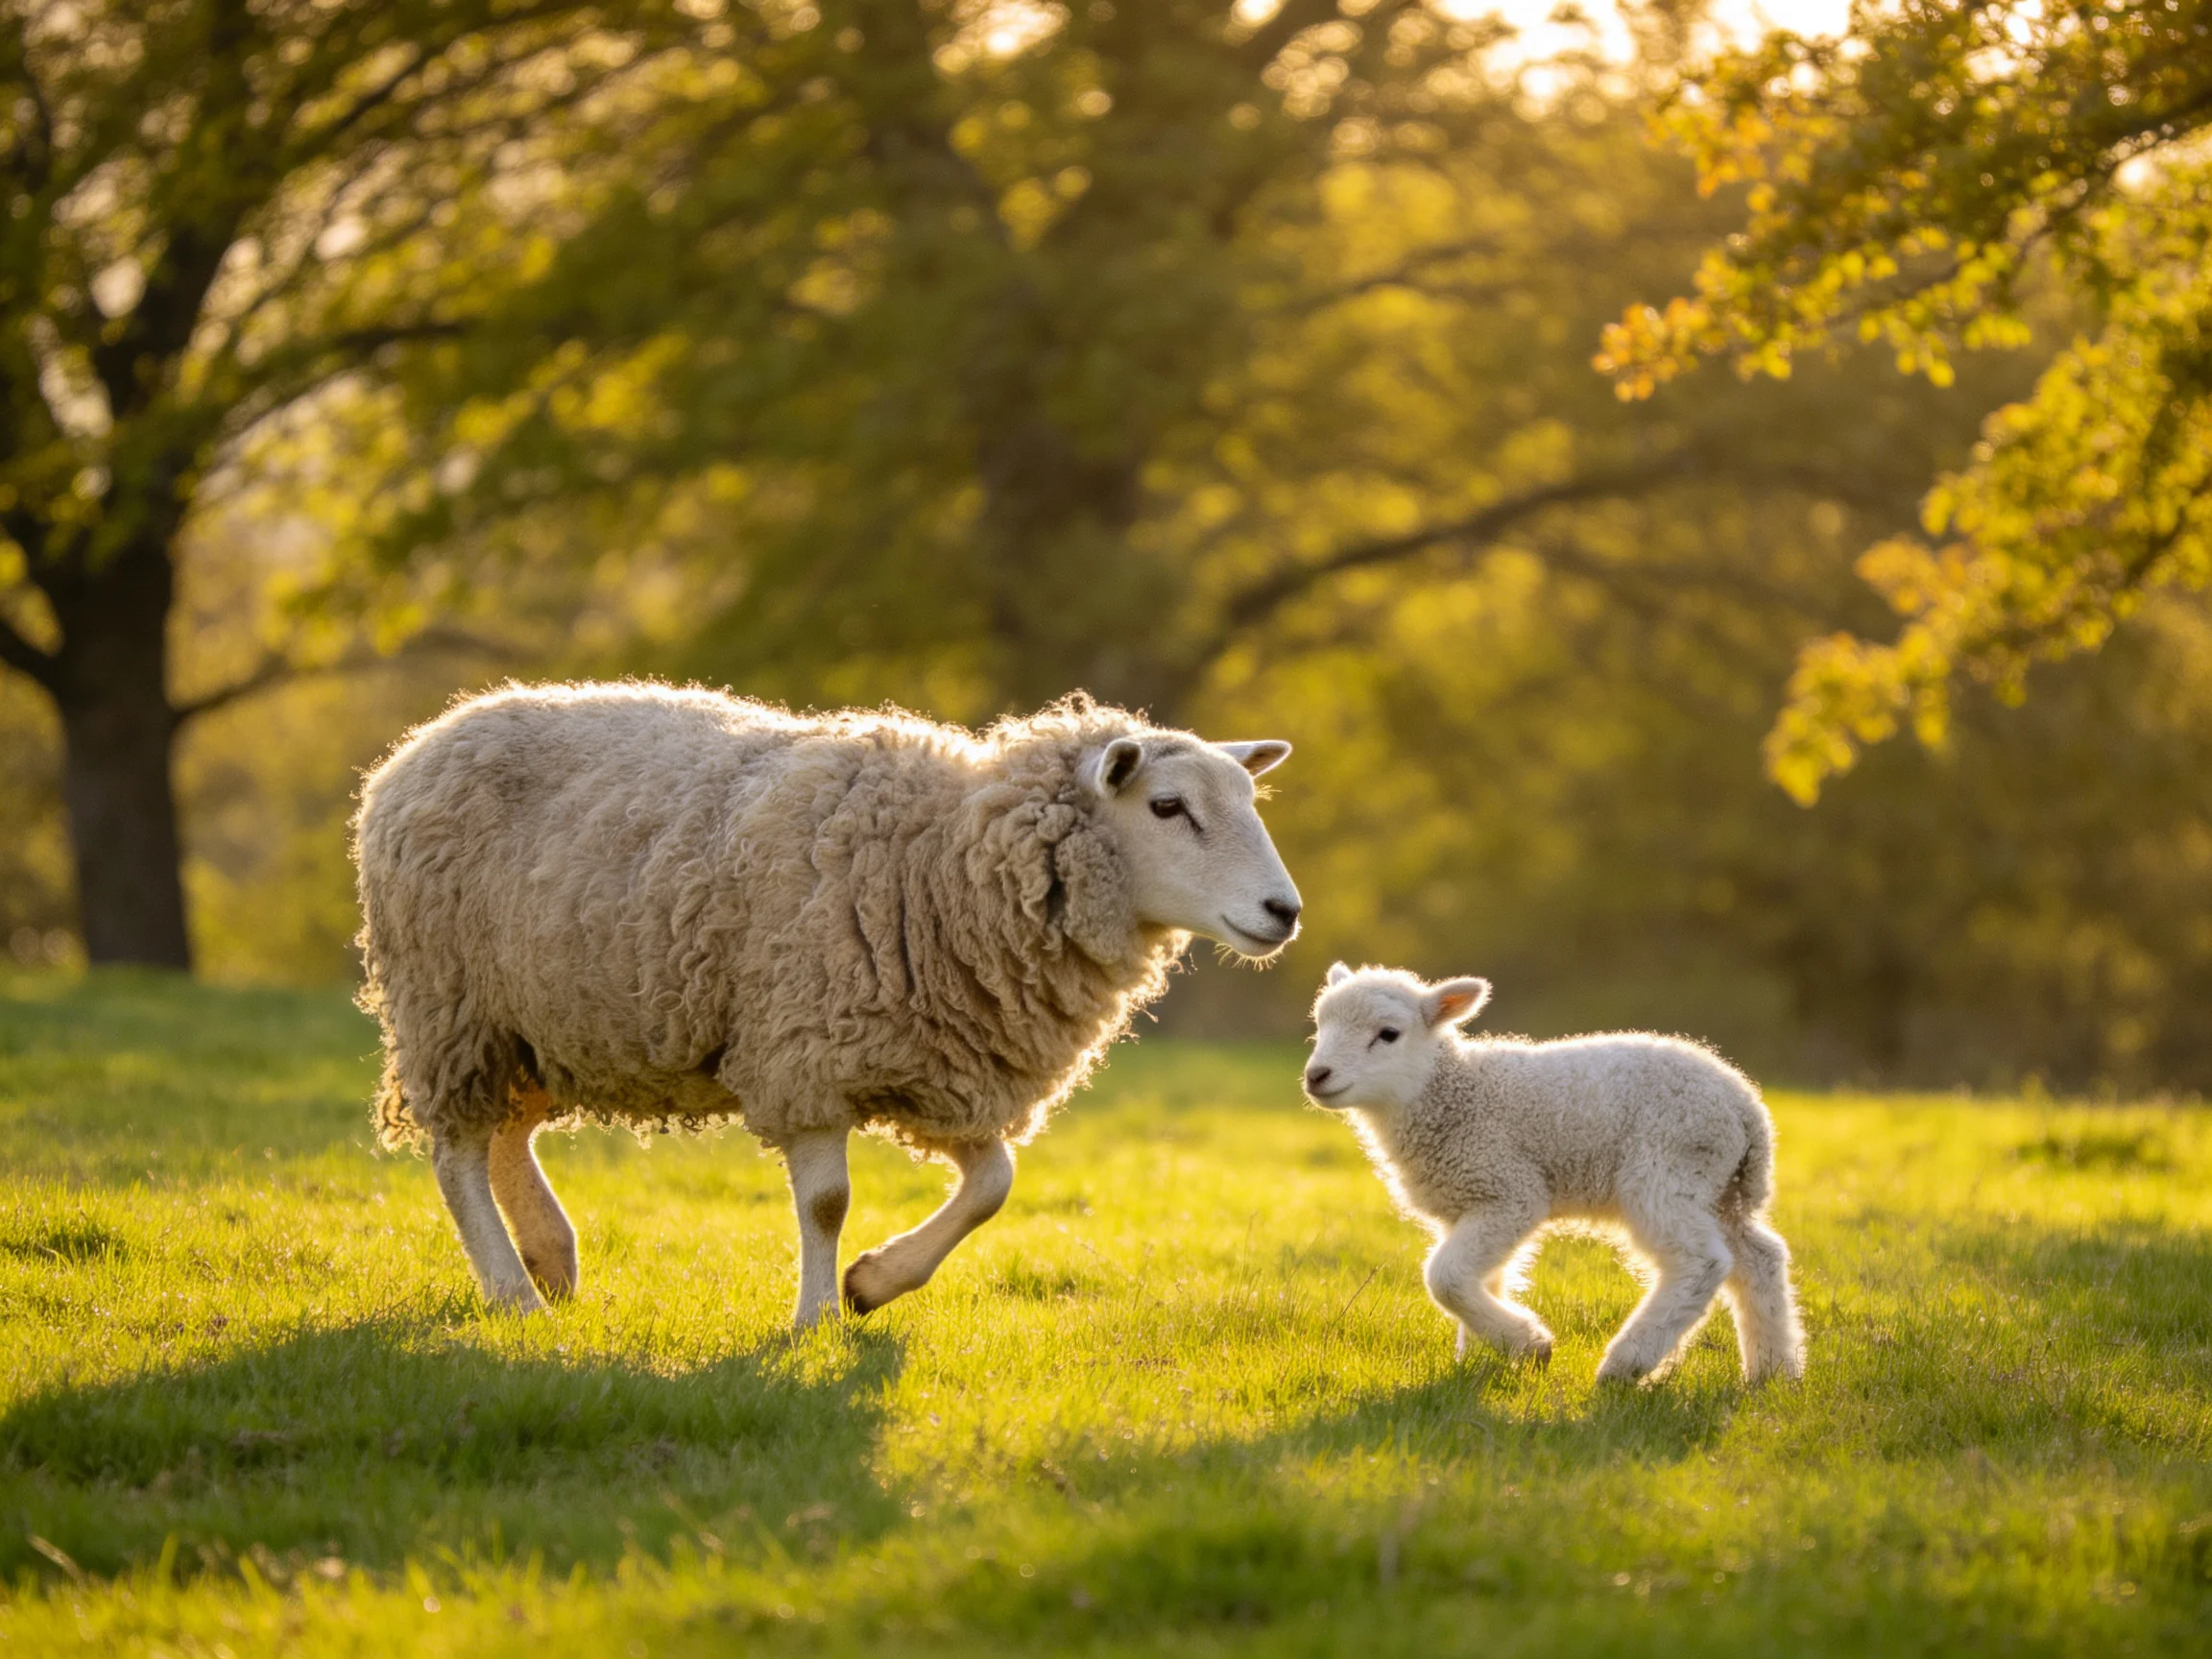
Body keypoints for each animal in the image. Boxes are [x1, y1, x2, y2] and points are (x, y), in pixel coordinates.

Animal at [353, 682, 1302, 1323]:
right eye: (1168, 806)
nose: (1284, 912)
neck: (939, 865)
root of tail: (420, 743)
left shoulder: (942, 1066)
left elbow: (994, 1184)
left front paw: (873, 1283)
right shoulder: (805, 1053)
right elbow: (827, 1203)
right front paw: (815, 1318)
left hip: (535, 1022)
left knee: (507, 1135)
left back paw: (550, 1258)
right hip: (448, 1005)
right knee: (458, 1155)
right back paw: (512, 1291)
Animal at [1303, 963, 1804, 1384]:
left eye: (1388, 1034)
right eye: (1320, 1027)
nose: (1316, 1075)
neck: (1452, 1095)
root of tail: (1746, 1106)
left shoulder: (1509, 1189)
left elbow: (1445, 1278)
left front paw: (1530, 1345)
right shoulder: (1469, 1202)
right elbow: (1482, 1277)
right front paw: (1481, 1358)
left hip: (1667, 1167)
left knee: (1702, 1262)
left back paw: (1626, 1364)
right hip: (1715, 1185)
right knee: (1759, 1257)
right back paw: (1774, 1372)